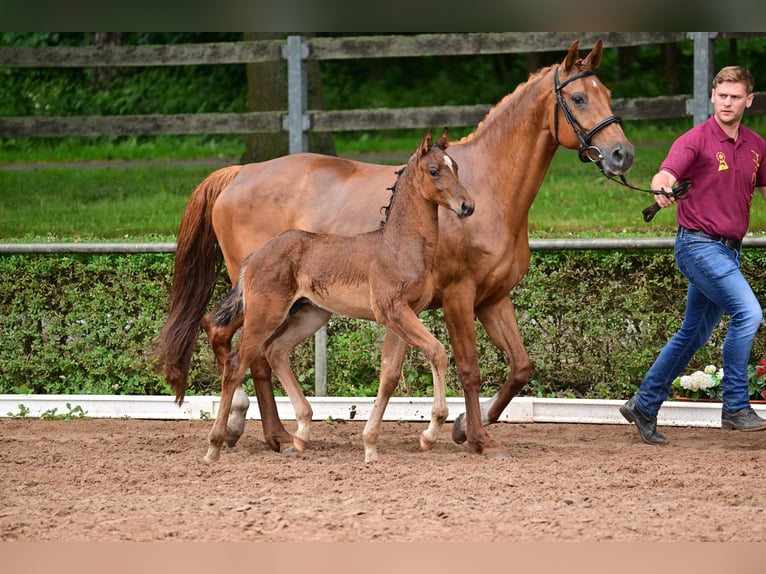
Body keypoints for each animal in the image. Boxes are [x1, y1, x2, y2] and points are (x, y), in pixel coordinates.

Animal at [154, 38, 636, 460]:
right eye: (578, 98)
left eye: (609, 94)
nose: (621, 154)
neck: (490, 186)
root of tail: (238, 174)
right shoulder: (459, 297)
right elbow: (468, 366)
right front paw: (477, 439)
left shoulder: (493, 298)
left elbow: (520, 367)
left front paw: (464, 427)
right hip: (262, 297)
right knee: (246, 351)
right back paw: (270, 433)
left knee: (233, 338)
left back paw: (250, 426)